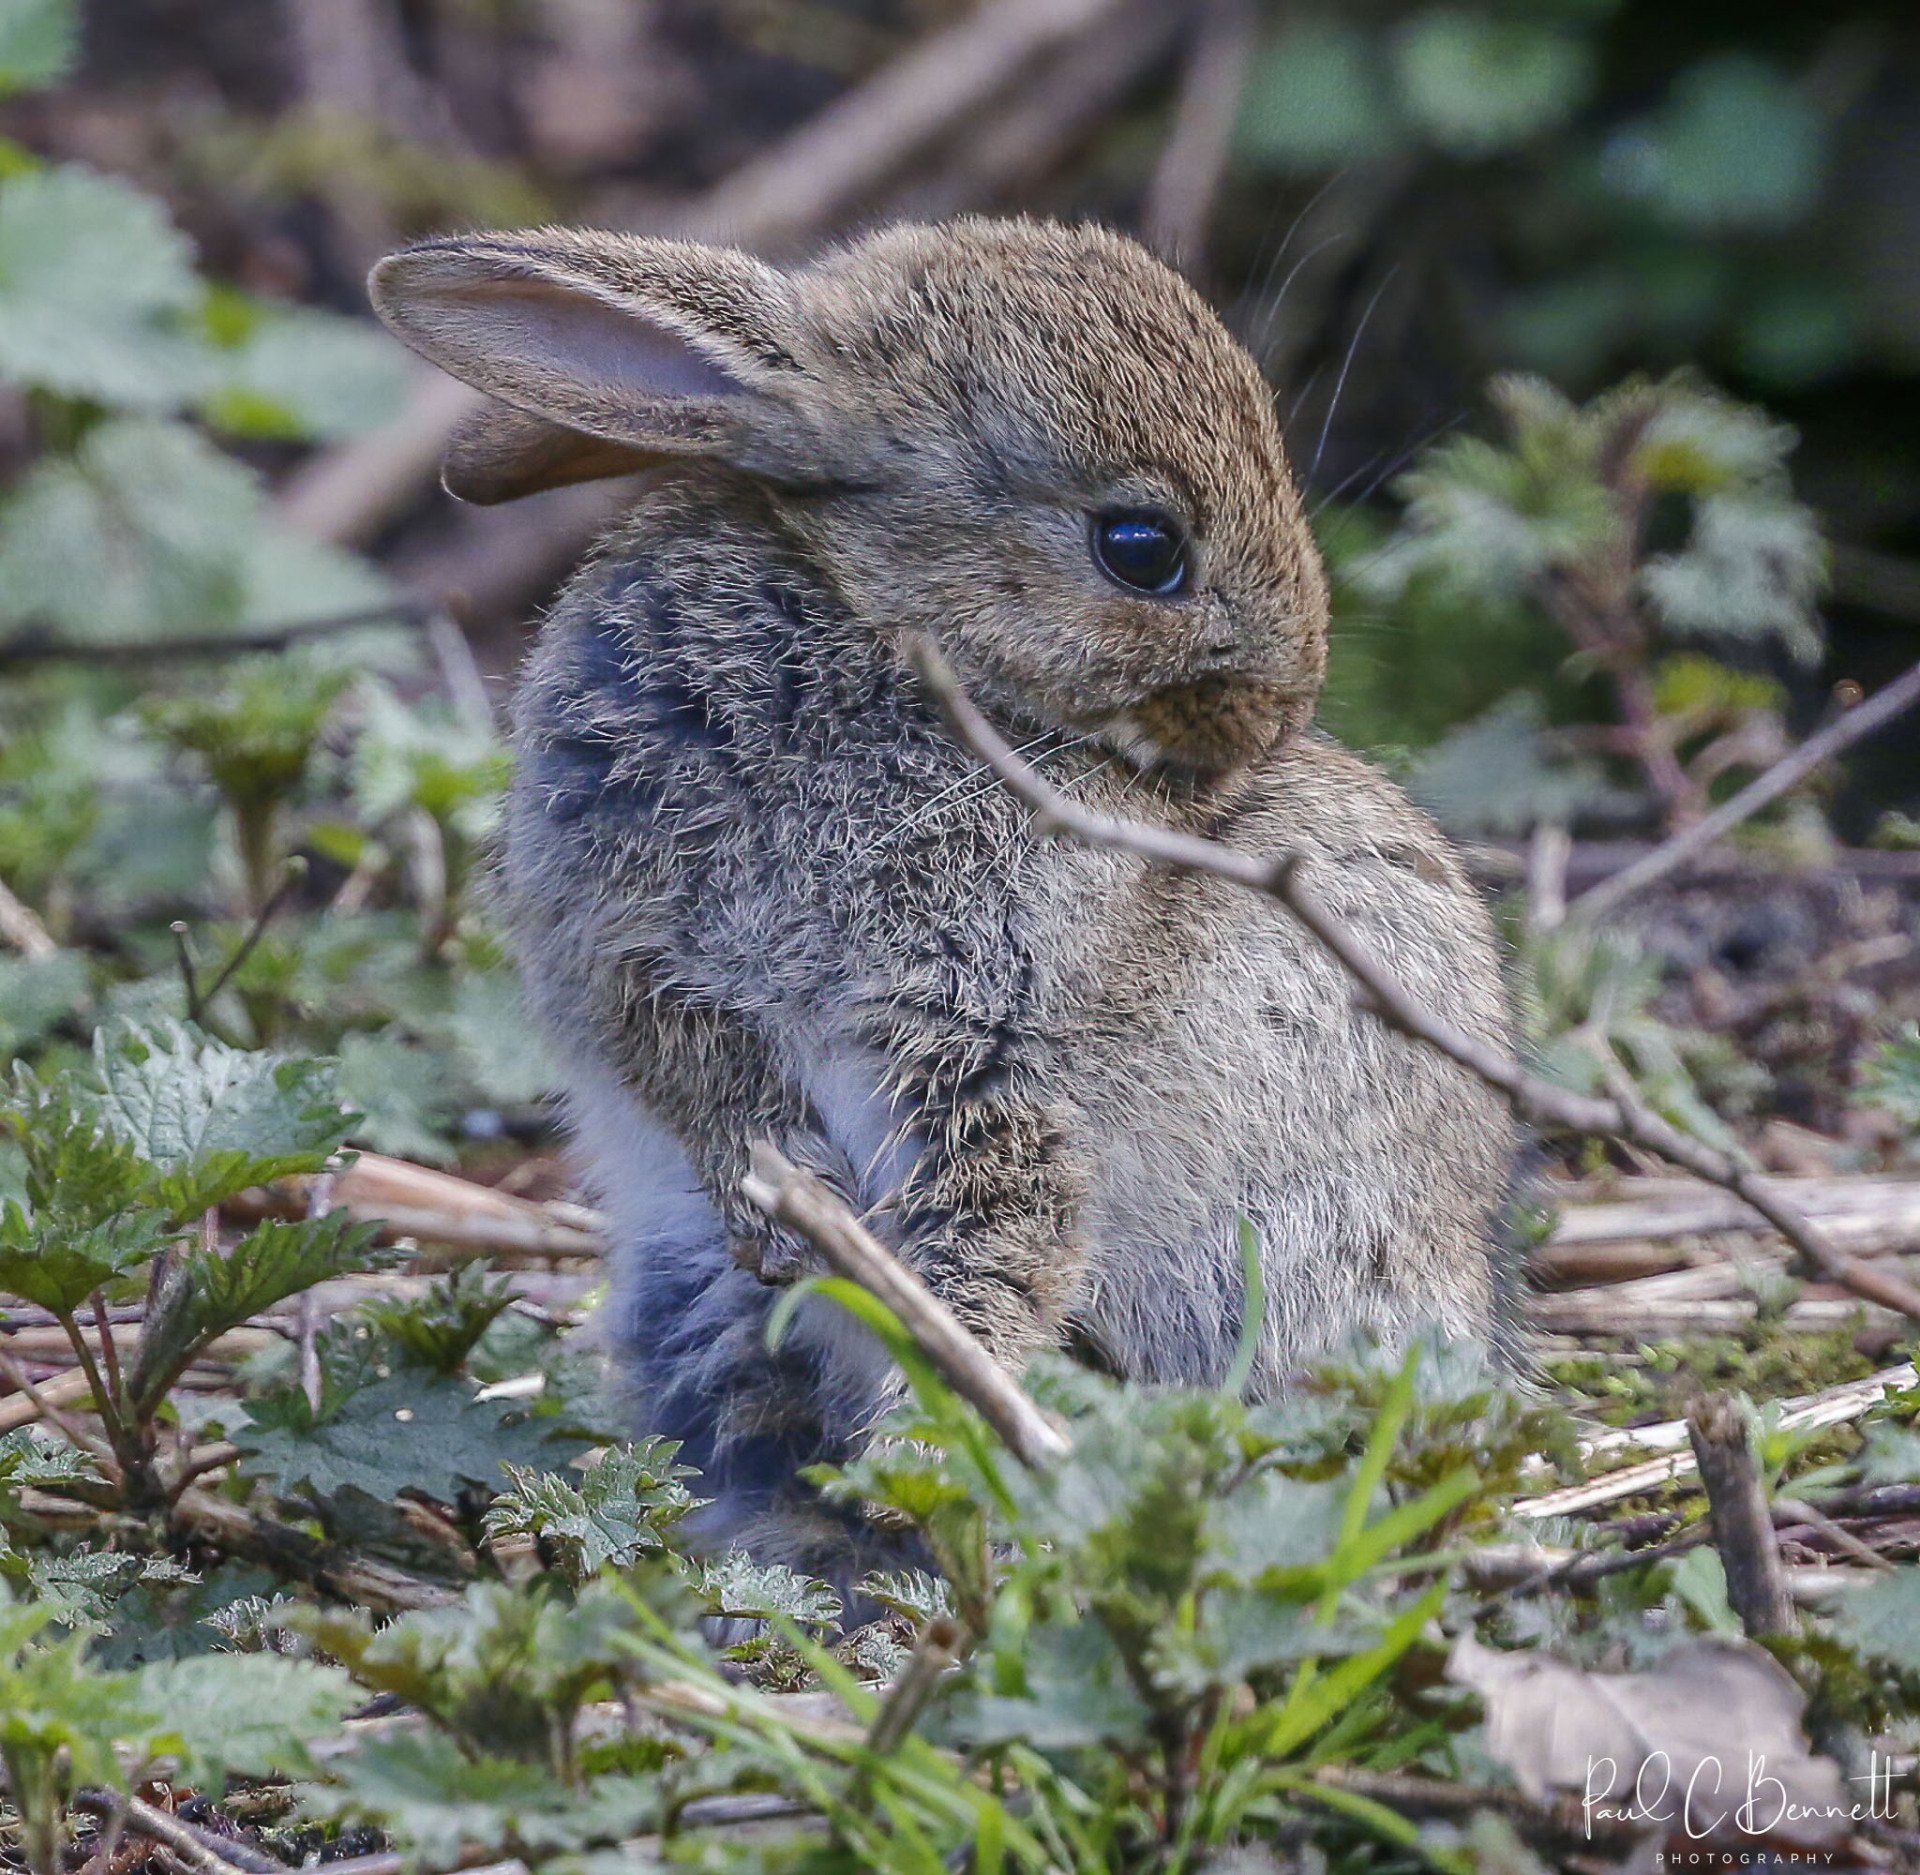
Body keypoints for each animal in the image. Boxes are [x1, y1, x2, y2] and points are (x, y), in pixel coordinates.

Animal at [369, 216, 1516, 1576]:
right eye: (1142, 550)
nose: (1283, 712)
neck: (871, 630)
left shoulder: (994, 1043)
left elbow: (998, 1240)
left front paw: (932, 1445)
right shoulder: (627, 960)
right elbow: (707, 1086)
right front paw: (798, 1212)